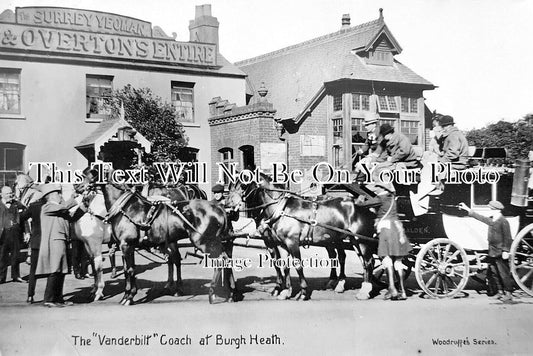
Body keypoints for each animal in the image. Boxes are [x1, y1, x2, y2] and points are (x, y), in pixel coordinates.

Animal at [227, 175, 376, 300]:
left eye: (243, 184)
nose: (228, 205)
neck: (281, 209)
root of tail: (362, 205)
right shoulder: (278, 243)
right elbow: (283, 265)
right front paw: (284, 291)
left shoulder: (291, 242)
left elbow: (298, 265)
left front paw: (303, 292)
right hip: (349, 239)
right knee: (356, 260)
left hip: (361, 240)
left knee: (367, 262)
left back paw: (362, 290)